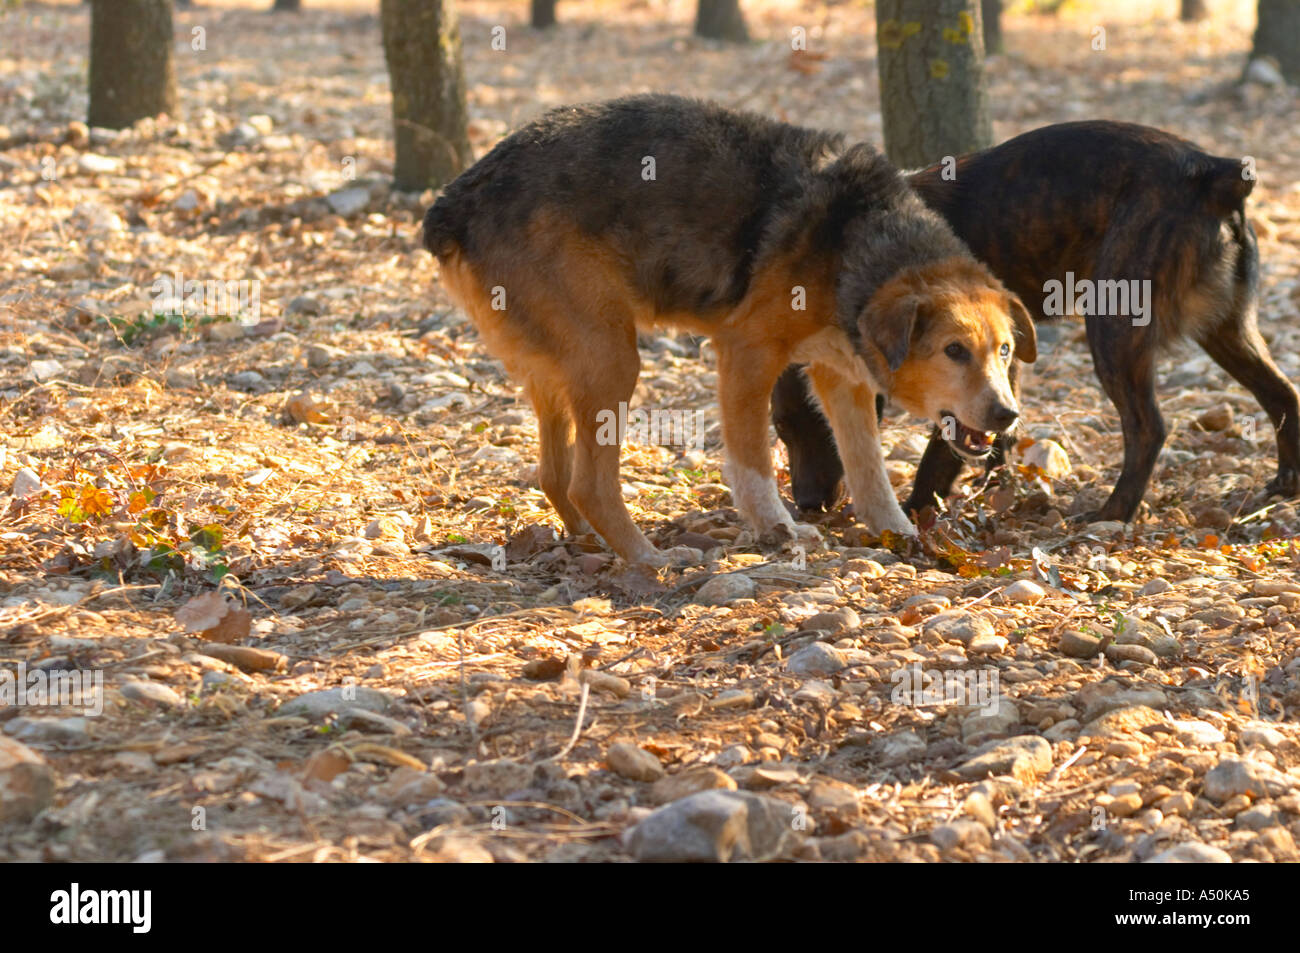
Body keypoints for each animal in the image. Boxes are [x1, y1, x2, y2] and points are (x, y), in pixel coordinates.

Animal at [426, 94, 1034, 564]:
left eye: (1005, 351)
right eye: (954, 351)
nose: (1008, 415)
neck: (854, 234)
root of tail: (454, 201)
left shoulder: (841, 378)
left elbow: (869, 471)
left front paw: (898, 533)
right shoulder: (747, 354)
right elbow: (753, 463)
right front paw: (778, 528)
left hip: (557, 371)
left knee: (554, 476)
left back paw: (590, 540)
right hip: (612, 358)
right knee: (590, 485)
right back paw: (648, 558)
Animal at [769, 120, 1300, 520]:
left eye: (831, 427)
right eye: (781, 429)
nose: (810, 505)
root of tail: (1213, 172)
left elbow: (947, 445)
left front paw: (919, 508)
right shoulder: (996, 356)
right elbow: (996, 427)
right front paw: (993, 484)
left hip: (1113, 328)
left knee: (1148, 427)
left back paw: (1113, 513)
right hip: (1227, 330)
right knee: (1283, 394)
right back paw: (1287, 484)